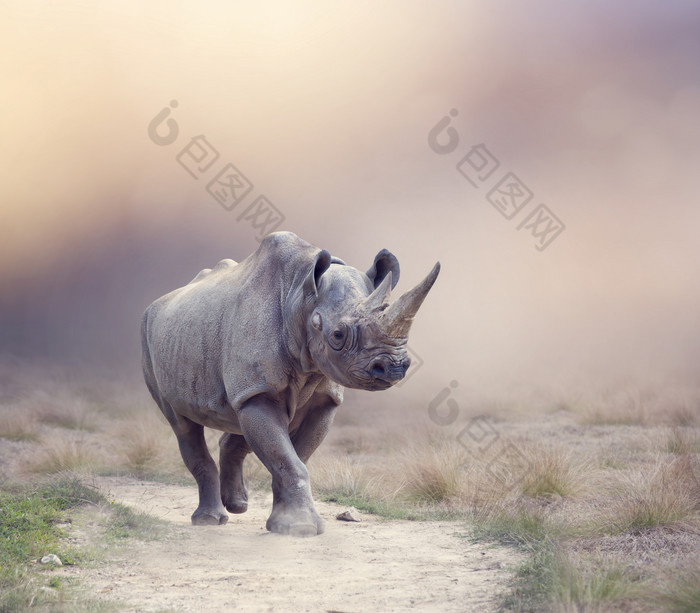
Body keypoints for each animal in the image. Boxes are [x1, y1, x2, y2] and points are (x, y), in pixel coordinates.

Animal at [140, 231, 440, 536]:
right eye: (338, 335)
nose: (393, 368)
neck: (300, 297)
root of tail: (158, 302)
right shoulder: (258, 390)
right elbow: (287, 459)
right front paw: (300, 527)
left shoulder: (320, 399)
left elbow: (295, 457)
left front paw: (284, 524)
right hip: (148, 336)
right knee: (182, 424)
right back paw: (209, 520)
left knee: (236, 417)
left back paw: (237, 505)